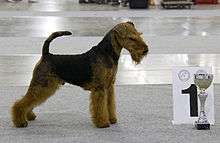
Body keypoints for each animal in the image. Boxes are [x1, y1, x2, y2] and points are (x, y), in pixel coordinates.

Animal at [12, 21, 150, 128]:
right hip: (42, 84)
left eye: (139, 34)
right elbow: (100, 107)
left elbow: (110, 104)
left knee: (29, 101)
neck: (107, 53)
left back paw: (29, 116)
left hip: (44, 86)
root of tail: (46, 55)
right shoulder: (100, 88)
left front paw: (112, 119)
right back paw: (20, 122)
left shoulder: (109, 87)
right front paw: (102, 123)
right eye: (131, 38)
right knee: (21, 102)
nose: (145, 50)